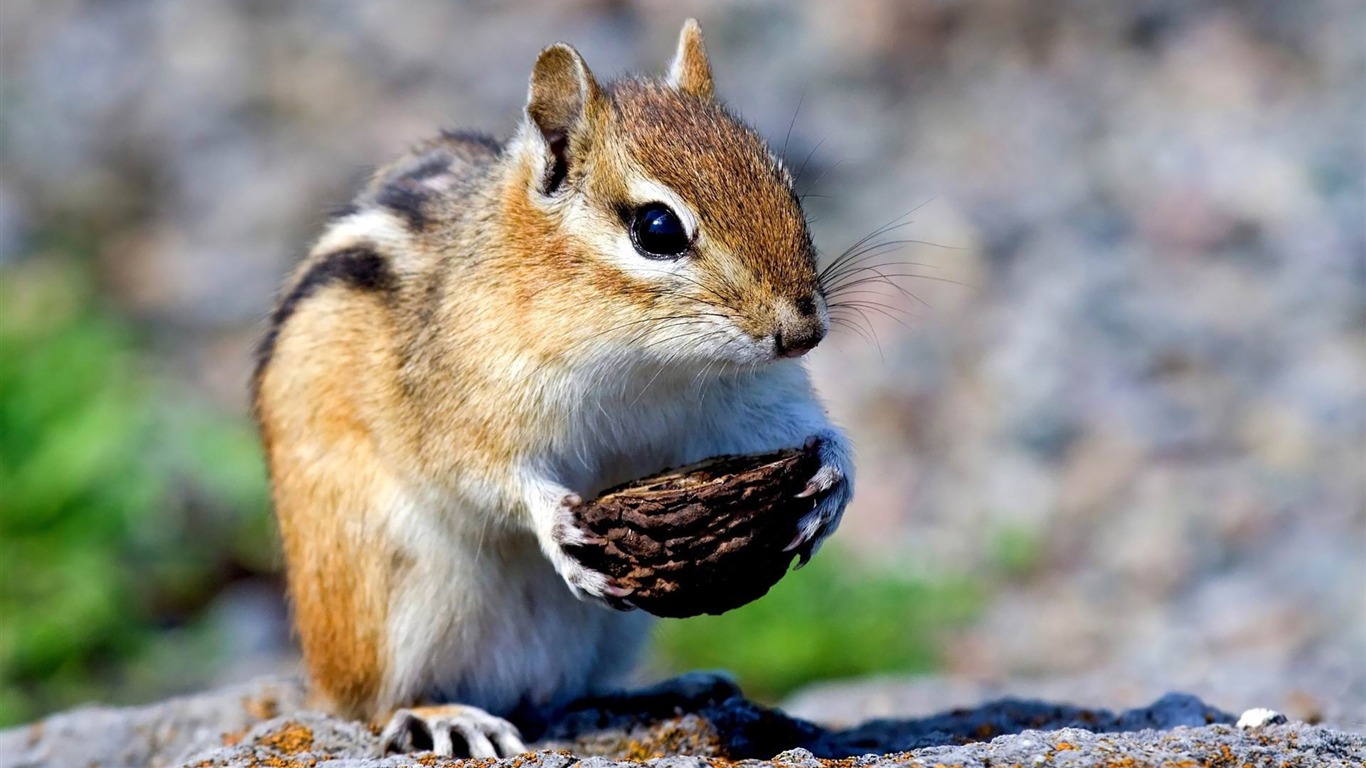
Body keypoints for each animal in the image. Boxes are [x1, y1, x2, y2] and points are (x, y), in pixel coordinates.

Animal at [254, 20, 852, 754]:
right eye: (657, 229)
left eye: (785, 182)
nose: (804, 331)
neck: (649, 363)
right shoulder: (464, 402)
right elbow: (483, 473)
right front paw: (554, 523)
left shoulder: (747, 400)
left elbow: (803, 428)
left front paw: (833, 477)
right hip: (389, 599)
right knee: (368, 705)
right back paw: (444, 716)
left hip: (616, 627)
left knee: (569, 696)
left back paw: (664, 690)